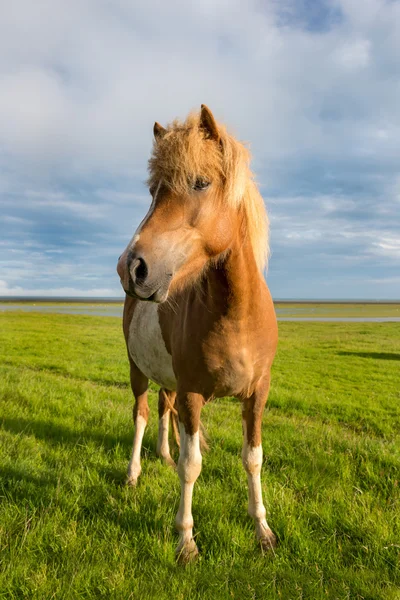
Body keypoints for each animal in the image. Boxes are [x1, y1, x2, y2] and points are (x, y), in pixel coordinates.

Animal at [116, 104, 278, 564]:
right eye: (153, 190)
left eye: (201, 182)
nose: (132, 267)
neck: (237, 316)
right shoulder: (192, 394)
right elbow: (193, 466)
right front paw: (185, 539)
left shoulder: (257, 395)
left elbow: (253, 458)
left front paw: (262, 530)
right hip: (137, 371)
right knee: (141, 413)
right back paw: (134, 473)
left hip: (167, 378)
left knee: (162, 409)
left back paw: (162, 456)